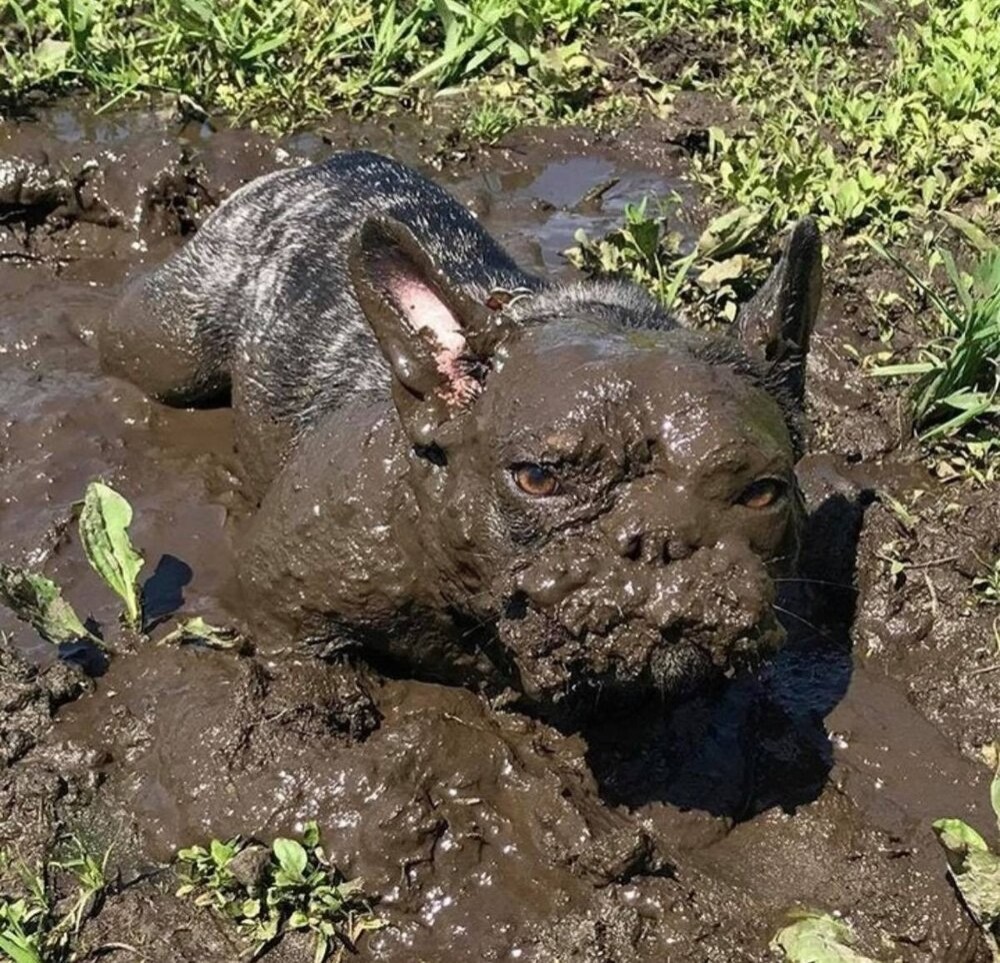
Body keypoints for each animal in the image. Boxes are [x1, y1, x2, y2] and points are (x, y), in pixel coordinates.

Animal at [99, 151, 820, 724]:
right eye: (537, 478)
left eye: (763, 493)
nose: (659, 541)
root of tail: (317, 167)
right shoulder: (289, 577)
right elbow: (294, 638)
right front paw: (318, 698)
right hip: (175, 338)